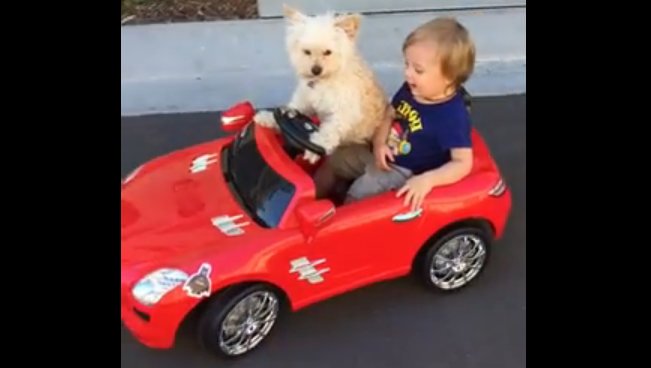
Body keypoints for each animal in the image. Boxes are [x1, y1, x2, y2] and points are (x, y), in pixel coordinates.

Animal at [252, 4, 390, 164]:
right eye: (307, 51)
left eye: (328, 52)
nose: (316, 70)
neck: (324, 81)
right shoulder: (305, 102)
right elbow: (291, 110)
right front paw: (268, 117)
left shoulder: (344, 112)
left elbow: (329, 131)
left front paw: (315, 149)